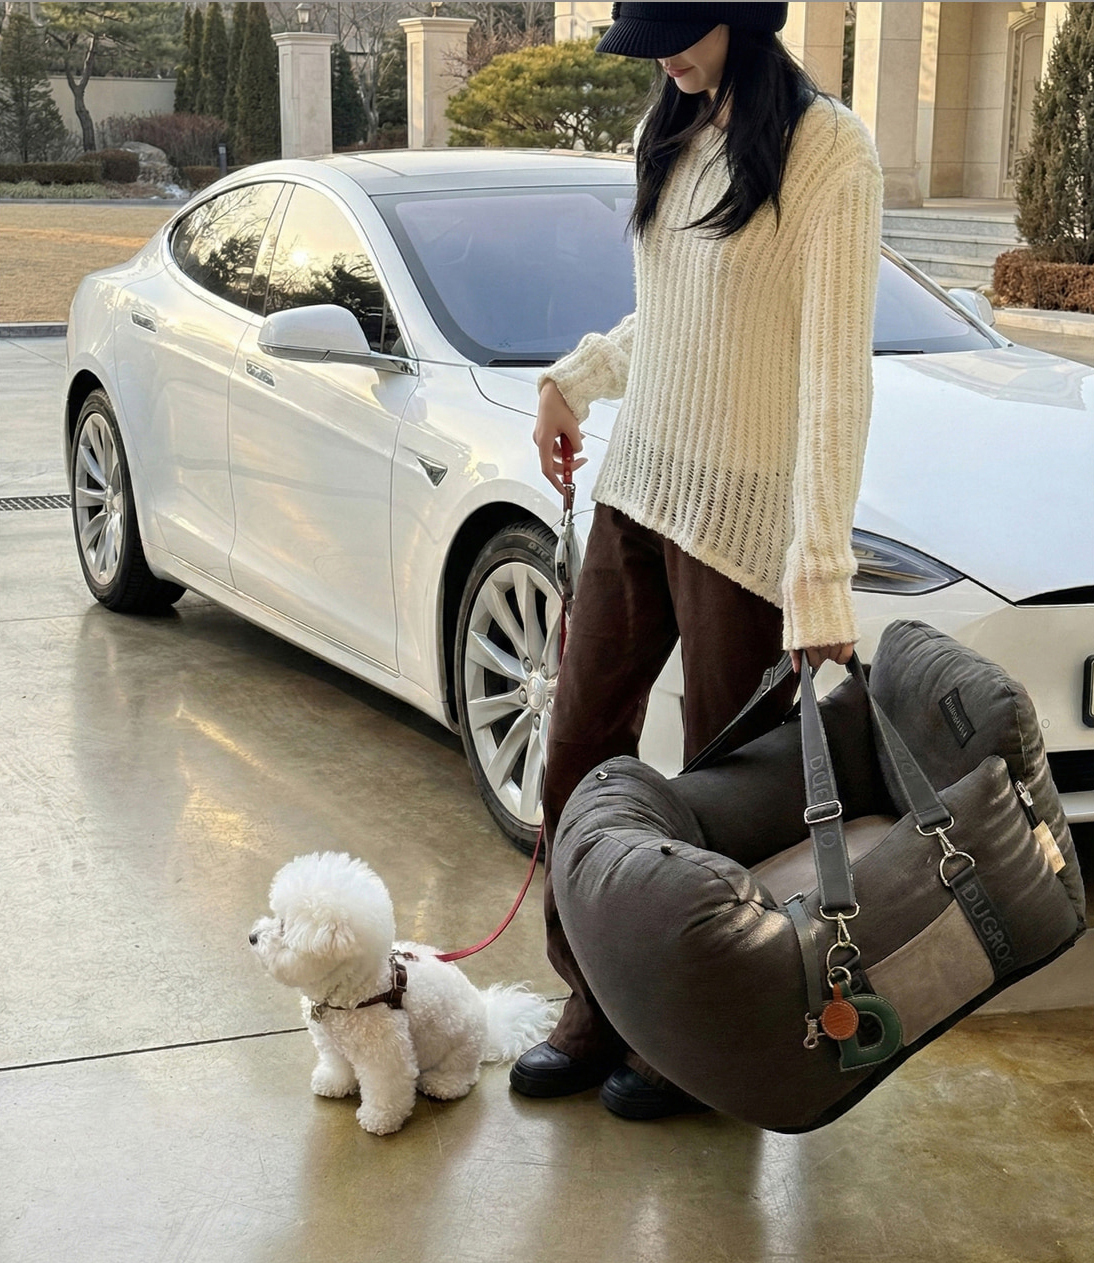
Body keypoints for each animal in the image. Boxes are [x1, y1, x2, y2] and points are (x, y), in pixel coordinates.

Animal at [249, 851, 555, 1135]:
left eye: (284, 927)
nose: (252, 937)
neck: (359, 990)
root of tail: (491, 1026)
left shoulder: (386, 1054)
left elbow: (386, 1088)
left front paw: (379, 1119)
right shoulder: (331, 1041)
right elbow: (337, 1064)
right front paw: (334, 1082)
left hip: (459, 1052)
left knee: (463, 1076)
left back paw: (442, 1084)